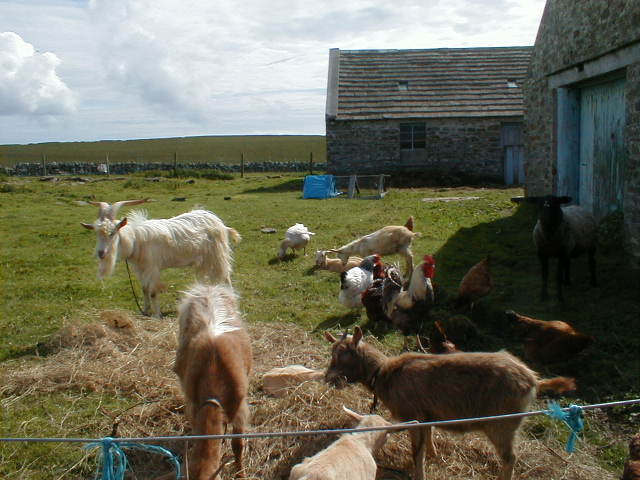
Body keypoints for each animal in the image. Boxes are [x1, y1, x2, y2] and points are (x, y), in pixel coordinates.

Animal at [81, 199, 241, 317]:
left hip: (217, 254)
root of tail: (220, 223)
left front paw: (156, 316)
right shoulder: (140, 269)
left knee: (225, 277)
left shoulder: (153, 268)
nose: (101, 253)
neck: (136, 240)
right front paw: (145, 311)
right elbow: (144, 289)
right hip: (203, 259)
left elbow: (153, 292)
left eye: (113, 233)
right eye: (96, 233)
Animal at [324, 327, 575, 480]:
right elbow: (429, 437)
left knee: (510, 457)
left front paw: (420, 473)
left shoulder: (412, 415)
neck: (384, 374)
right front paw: (433, 454)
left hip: (501, 423)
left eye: (343, 355)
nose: (328, 378)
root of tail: (533, 379)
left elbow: (416, 451)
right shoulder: (426, 416)